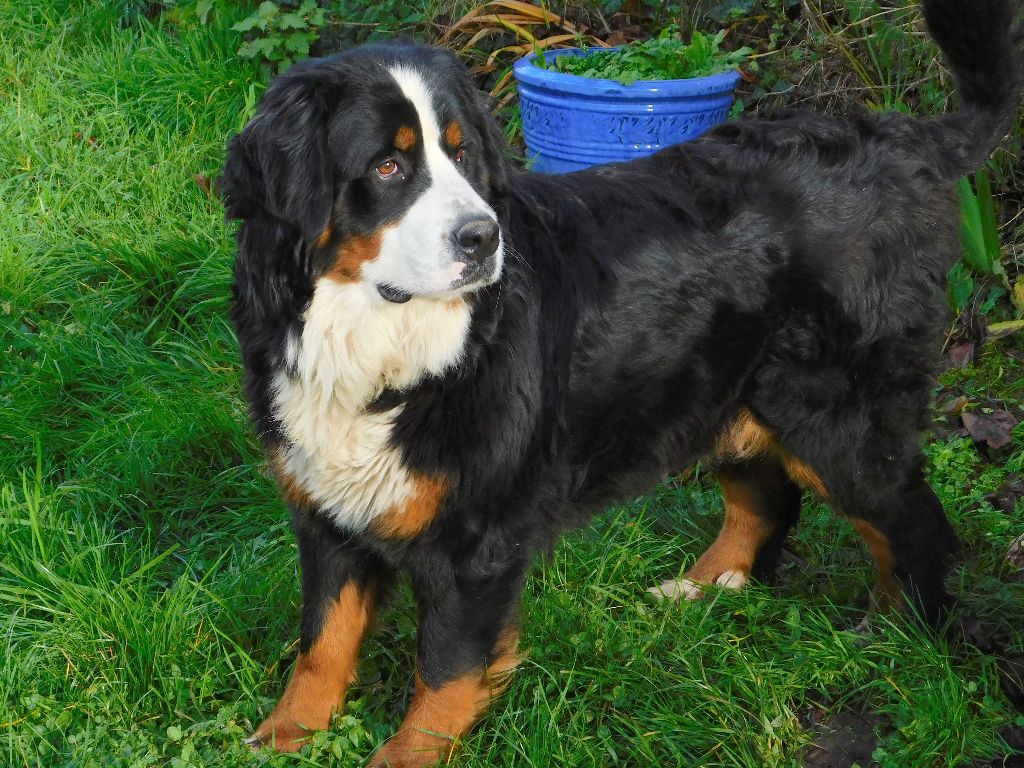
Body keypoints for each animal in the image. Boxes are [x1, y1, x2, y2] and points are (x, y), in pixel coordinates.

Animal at [224, 1, 1024, 765]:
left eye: (462, 154)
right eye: (388, 169)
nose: (483, 238)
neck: (379, 342)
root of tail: (905, 139)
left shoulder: (475, 537)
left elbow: (444, 672)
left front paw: (404, 756)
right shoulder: (325, 508)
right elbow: (322, 641)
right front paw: (282, 735)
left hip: (834, 415)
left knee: (913, 524)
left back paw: (890, 633)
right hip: (718, 390)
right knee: (767, 499)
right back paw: (704, 586)